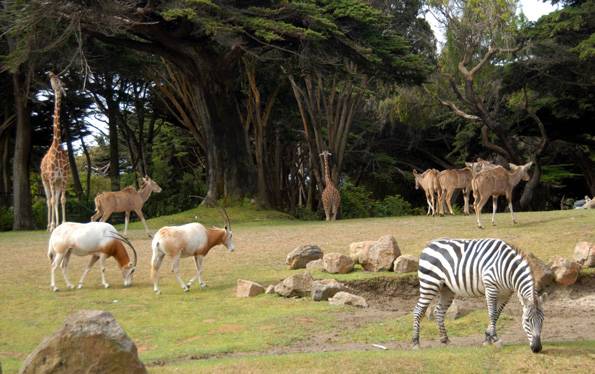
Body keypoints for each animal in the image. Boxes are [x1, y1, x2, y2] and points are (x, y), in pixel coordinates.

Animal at [414, 238, 544, 352]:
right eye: (527, 320)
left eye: (542, 320)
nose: (537, 348)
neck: (508, 269)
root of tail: (428, 246)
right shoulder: (491, 288)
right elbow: (492, 313)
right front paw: (495, 339)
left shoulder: (506, 294)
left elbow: (497, 314)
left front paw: (488, 338)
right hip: (429, 283)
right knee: (418, 310)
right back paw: (416, 342)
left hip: (447, 289)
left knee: (439, 311)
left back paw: (445, 340)